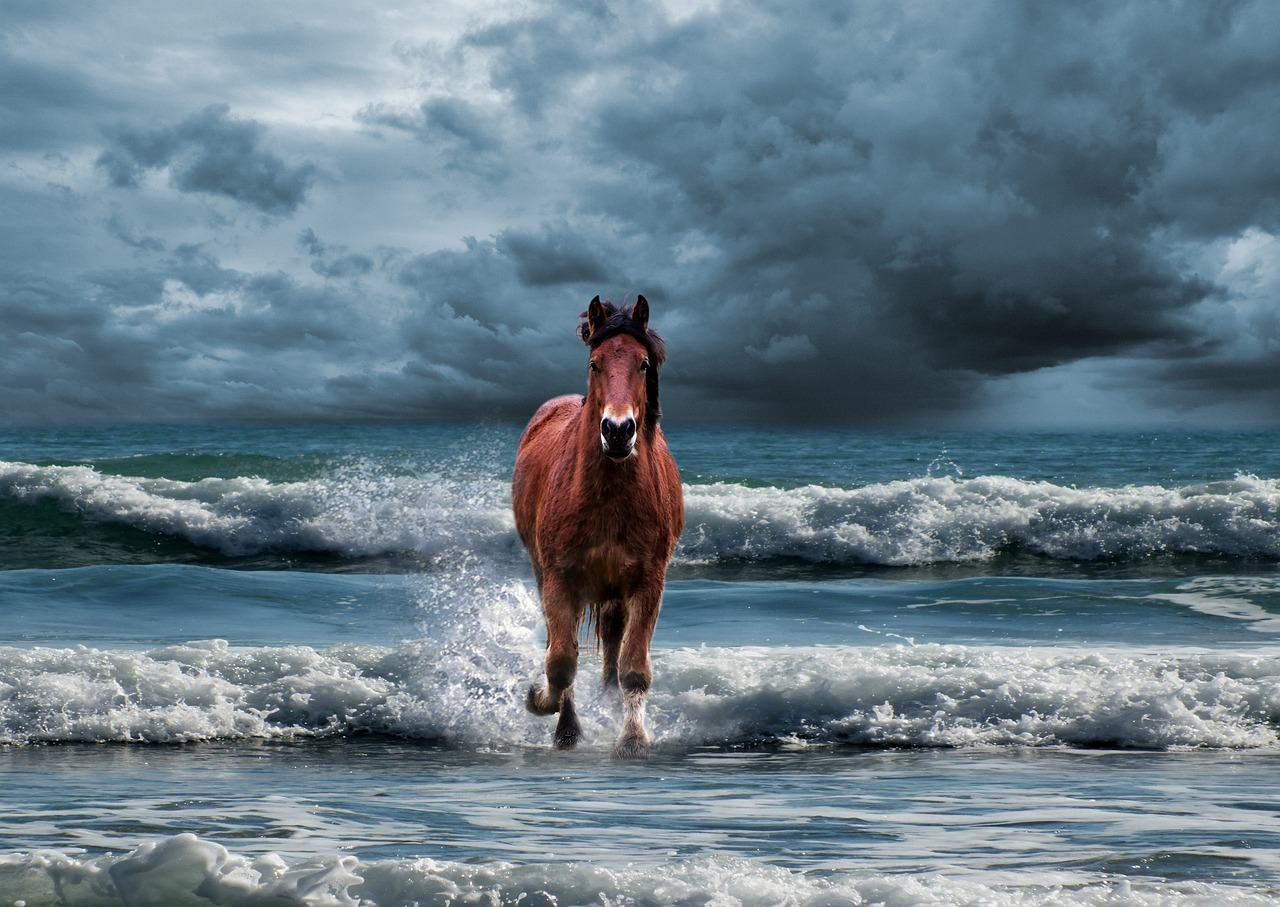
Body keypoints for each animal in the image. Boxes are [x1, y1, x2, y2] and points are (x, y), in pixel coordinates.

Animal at [514, 294, 686, 752]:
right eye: (595, 363)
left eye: (643, 364)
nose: (618, 430)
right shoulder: (559, 579)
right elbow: (560, 661)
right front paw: (546, 707)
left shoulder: (648, 582)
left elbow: (633, 667)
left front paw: (633, 737)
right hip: (546, 573)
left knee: (612, 640)